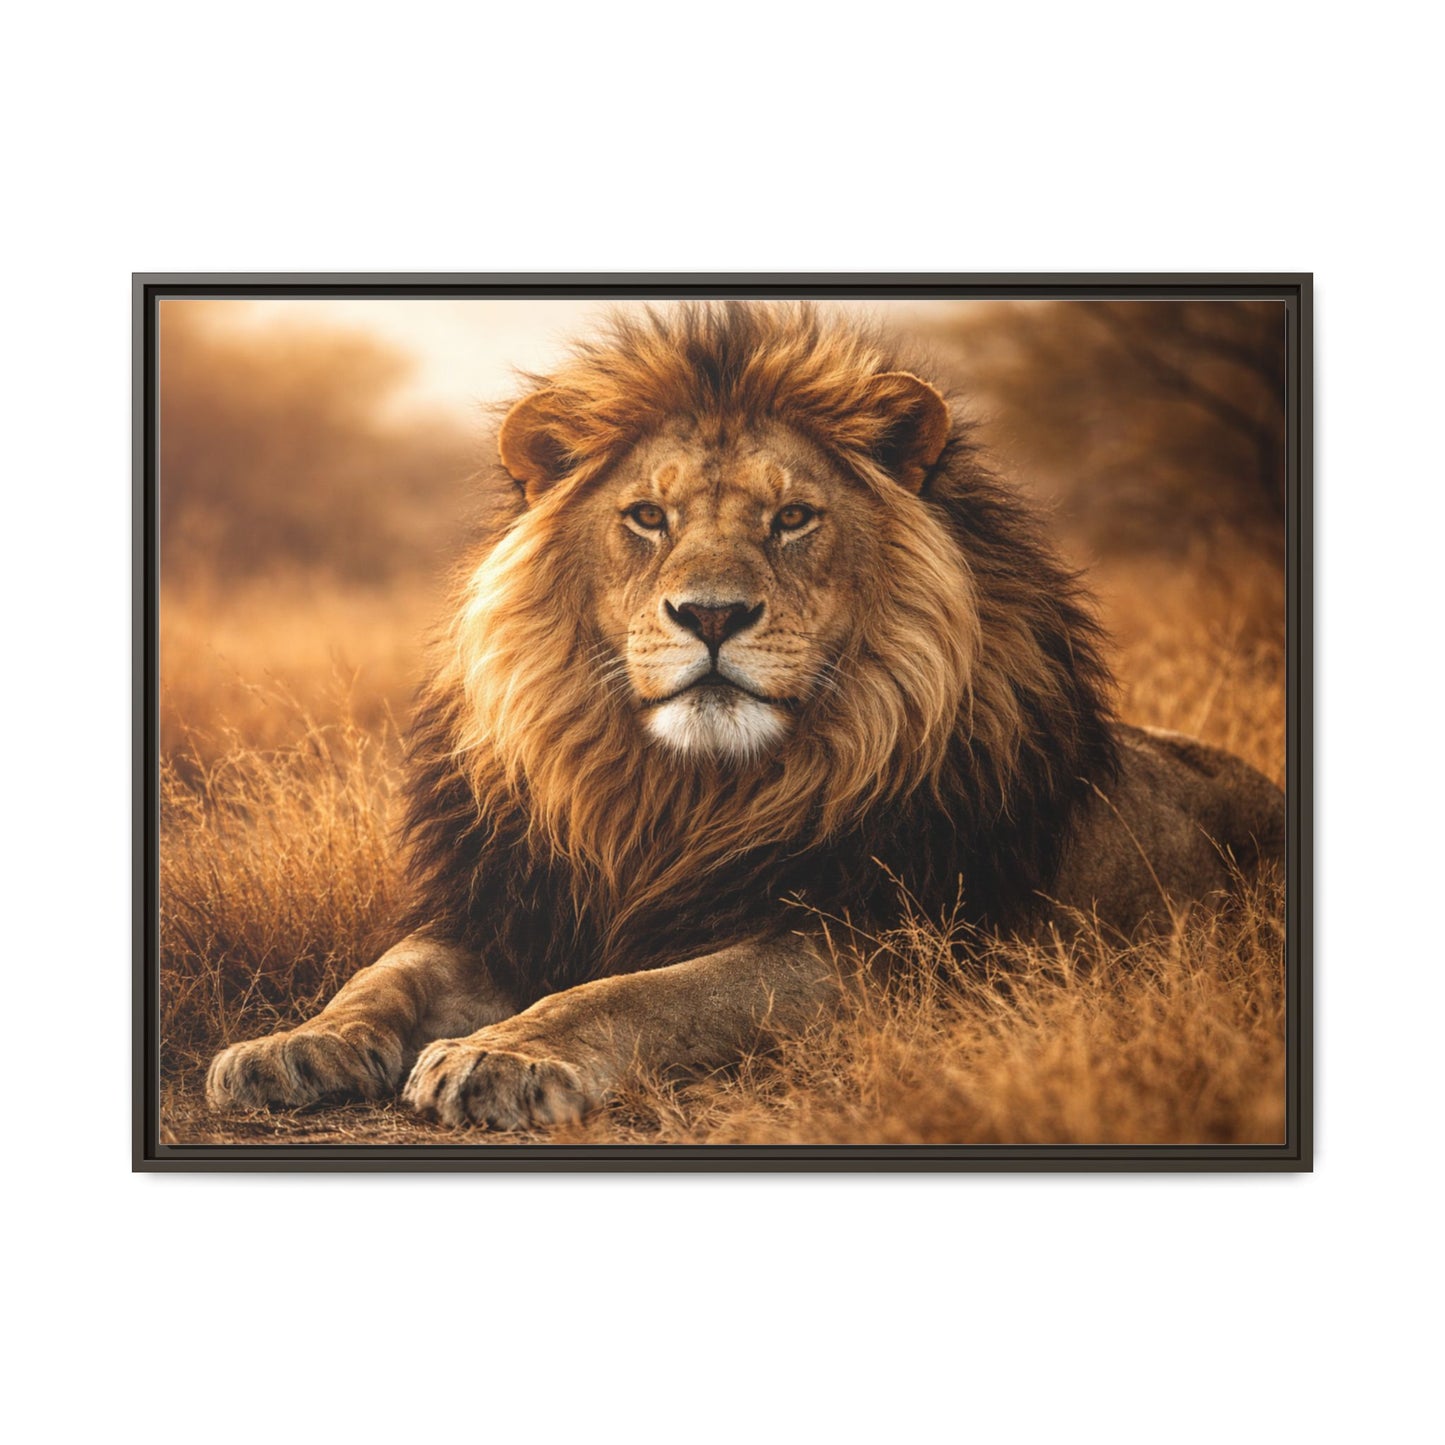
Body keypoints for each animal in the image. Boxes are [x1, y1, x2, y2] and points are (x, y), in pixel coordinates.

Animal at [206, 302, 1285, 1130]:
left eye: (792, 517)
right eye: (648, 517)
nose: (713, 614)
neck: (677, 797)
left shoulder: (868, 948)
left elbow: (645, 990)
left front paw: (503, 1053)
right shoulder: (513, 904)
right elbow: (385, 972)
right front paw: (287, 1045)